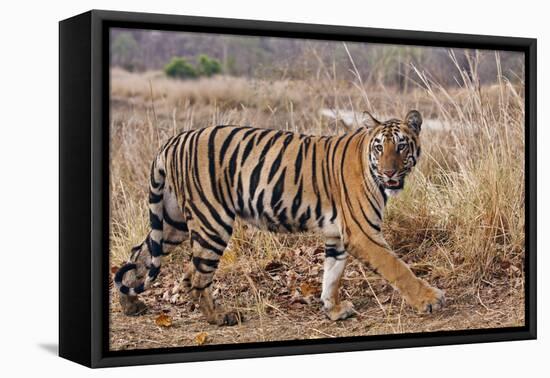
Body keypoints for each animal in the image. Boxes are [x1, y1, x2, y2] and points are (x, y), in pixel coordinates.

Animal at [114, 109, 446, 324]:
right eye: (380, 147)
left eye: (401, 146)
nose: (389, 172)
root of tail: (175, 139)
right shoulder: (363, 233)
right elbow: (397, 268)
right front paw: (430, 299)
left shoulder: (337, 235)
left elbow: (332, 274)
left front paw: (333, 310)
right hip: (212, 221)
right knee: (197, 275)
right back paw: (219, 317)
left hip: (173, 222)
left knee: (139, 253)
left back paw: (131, 305)